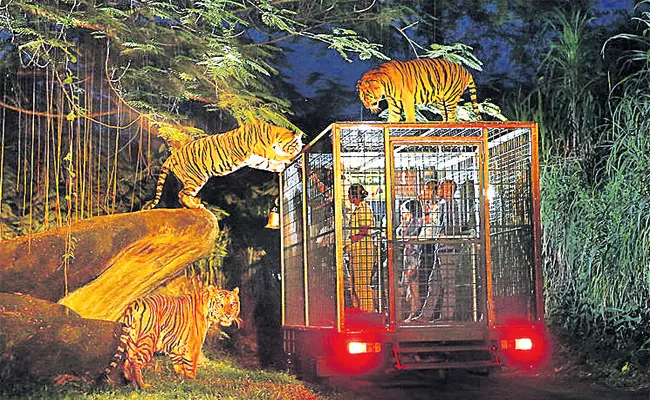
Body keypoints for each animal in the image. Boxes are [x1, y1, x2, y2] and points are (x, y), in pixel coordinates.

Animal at [101, 286, 240, 390]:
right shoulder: (192, 346)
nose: (229, 315)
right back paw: (143, 385)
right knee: (135, 362)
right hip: (148, 340)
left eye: (233, 304)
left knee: (127, 362)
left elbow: (179, 366)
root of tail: (135, 303)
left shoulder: (175, 347)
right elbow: (190, 366)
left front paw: (180, 381)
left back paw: (131, 382)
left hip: (132, 340)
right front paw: (192, 382)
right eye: (221, 304)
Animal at [144, 120, 302, 209]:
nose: (299, 149)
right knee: (182, 194)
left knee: (181, 195)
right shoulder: (263, 150)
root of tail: (172, 156)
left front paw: (280, 166)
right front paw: (290, 157)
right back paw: (196, 206)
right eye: (296, 145)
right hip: (196, 178)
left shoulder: (256, 160)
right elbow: (276, 156)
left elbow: (269, 164)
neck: (274, 135)